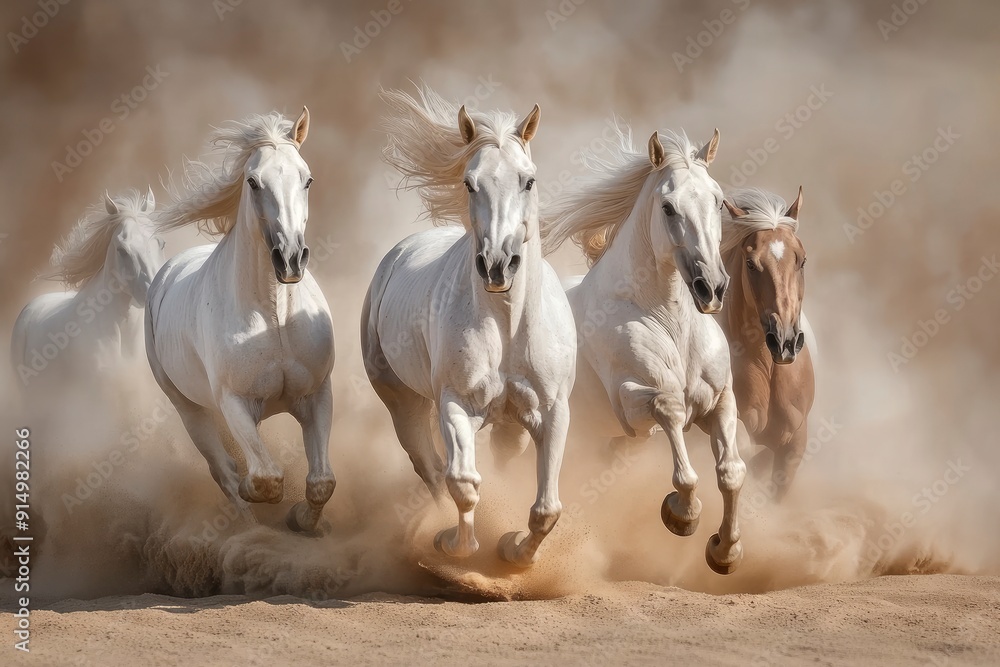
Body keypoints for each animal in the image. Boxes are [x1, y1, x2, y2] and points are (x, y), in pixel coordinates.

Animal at [146, 108, 336, 534]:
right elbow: (264, 479)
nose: (291, 259)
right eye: (253, 181)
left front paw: (302, 520)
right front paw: (257, 494)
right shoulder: (234, 401)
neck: (275, 318)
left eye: (308, 179)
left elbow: (321, 482)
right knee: (222, 471)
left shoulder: (316, 394)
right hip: (189, 408)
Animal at [363, 86, 576, 567]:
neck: (508, 327)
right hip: (403, 404)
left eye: (528, 180)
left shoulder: (552, 412)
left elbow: (547, 509)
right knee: (431, 468)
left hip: (512, 427)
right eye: (469, 182)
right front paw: (454, 547)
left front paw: (515, 552)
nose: (497, 265)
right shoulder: (457, 406)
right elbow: (463, 484)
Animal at [541, 125, 747, 574]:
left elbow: (732, 473)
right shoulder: (633, 404)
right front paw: (681, 515)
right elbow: (675, 430)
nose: (712, 287)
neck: (670, 321)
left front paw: (724, 551)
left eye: (718, 199)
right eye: (668, 207)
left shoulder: (721, 401)